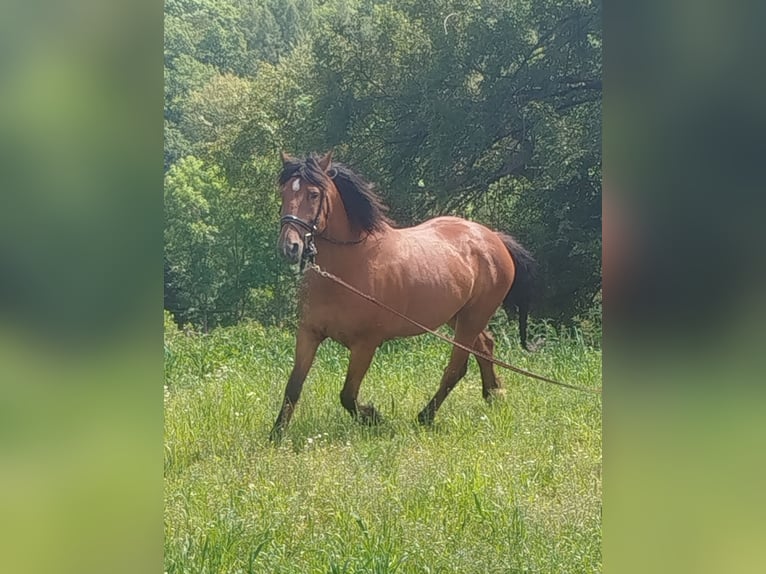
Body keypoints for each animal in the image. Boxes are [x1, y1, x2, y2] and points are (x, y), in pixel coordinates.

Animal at [272, 152, 536, 440]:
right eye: (284, 192)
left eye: (313, 194)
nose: (289, 246)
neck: (349, 267)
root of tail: (493, 238)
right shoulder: (309, 334)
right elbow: (293, 387)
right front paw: (276, 435)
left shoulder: (366, 344)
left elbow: (348, 395)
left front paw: (375, 418)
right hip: (458, 317)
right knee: (485, 347)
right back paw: (494, 395)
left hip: (473, 317)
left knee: (456, 368)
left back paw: (426, 416)